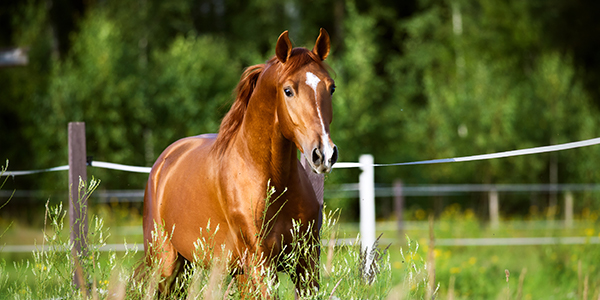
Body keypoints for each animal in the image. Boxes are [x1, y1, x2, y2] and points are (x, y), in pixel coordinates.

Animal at [140, 28, 338, 298]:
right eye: (288, 90)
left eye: (331, 88)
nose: (324, 154)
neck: (269, 178)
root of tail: (164, 162)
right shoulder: (261, 264)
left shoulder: (305, 263)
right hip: (165, 265)